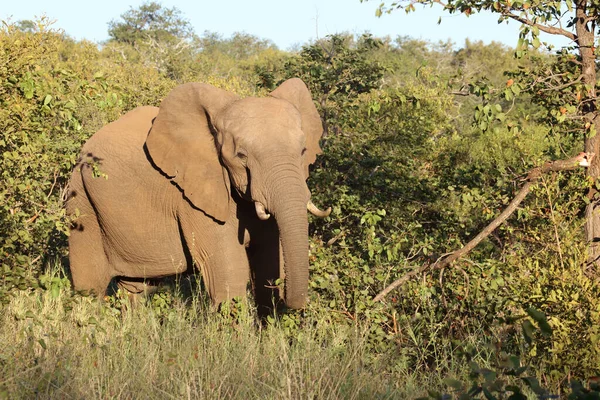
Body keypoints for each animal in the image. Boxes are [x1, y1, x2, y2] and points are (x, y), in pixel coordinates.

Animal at [63, 77, 330, 310]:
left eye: (303, 150)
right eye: (241, 156)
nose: (293, 303)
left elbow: (268, 261)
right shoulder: (193, 197)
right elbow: (229, 272)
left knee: (136, 287)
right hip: (81, 200)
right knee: (89, 287)